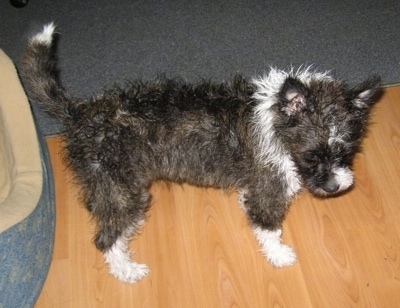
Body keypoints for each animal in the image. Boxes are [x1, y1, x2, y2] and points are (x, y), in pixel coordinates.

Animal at [20, 24, 380, 284]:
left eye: (346, 151)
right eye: (311, 155)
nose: (335, 187)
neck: (276, 119)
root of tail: (79, 112)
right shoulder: (270, 186)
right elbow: (268, 226)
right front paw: (279, 255)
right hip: (122, 192)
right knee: (106, 238)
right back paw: (127, 271)